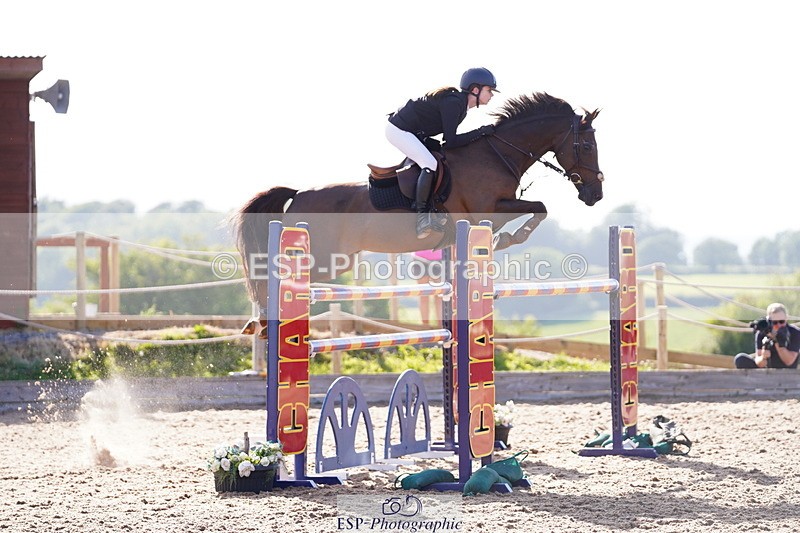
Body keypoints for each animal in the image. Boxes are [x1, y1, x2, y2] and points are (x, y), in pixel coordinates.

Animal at [231, 92, 603, 315]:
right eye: (586, 146)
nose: (595, 195)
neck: (496, 154)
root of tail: (298, 195)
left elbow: (539, 208)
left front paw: (507, 239)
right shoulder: (490, 210)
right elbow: (538, 207)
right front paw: (510, 238)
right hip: (323, 258)